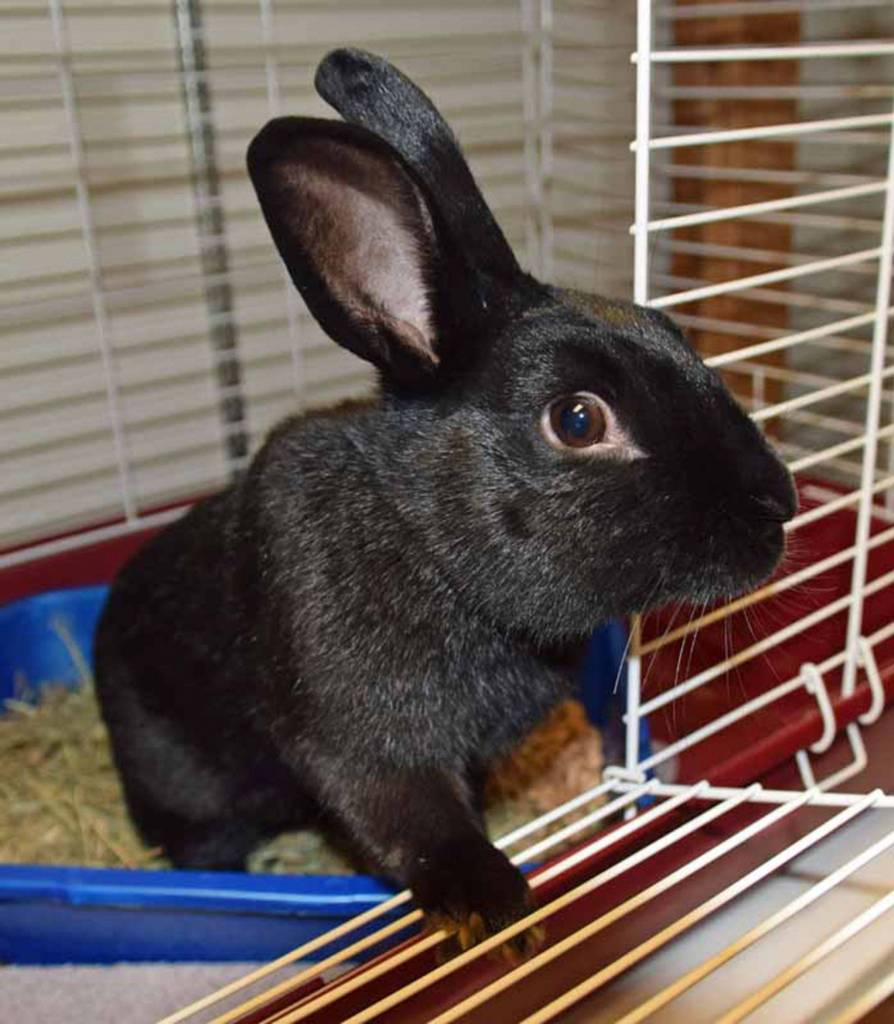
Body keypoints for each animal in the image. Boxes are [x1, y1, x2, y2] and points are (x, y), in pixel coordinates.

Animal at [93, 47, 796, 954]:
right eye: (577, 418)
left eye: (670, 331)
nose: (778, 504)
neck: (428, 545)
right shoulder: (366, 741)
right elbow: (416, 819)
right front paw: (498, 911)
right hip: (183, 781)